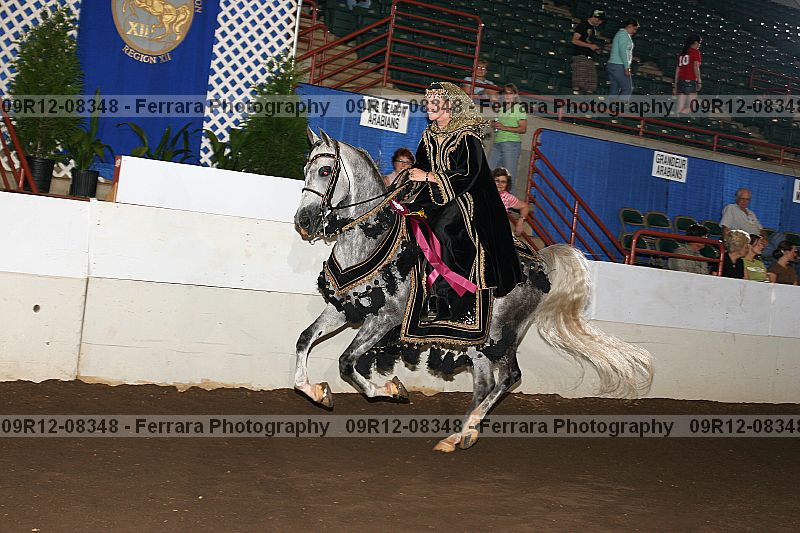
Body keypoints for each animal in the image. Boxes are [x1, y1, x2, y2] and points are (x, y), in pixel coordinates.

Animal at [294, 129, 653, 452]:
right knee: (491, 382)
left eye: (325, 171)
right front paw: (315, 391)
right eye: (306, 168)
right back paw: (462, 434)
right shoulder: (343, 307)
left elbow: (346, 361)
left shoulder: (385, 318)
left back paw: (461, 433)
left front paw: (392, 389)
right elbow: (305, 339)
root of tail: (538, 263)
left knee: (505, 378)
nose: (303, 220)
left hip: (498, 334)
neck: (373, 237)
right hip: (483, 342)